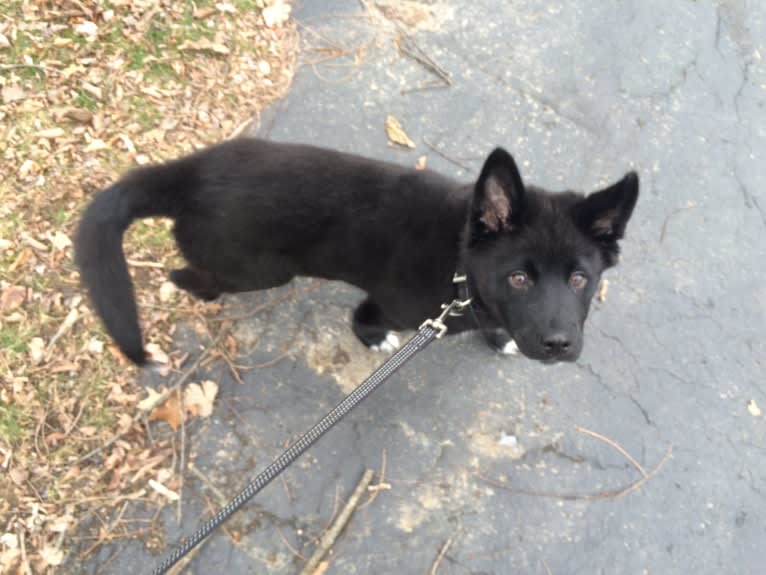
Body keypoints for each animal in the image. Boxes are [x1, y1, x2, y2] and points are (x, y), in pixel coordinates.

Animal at [75, 137, 640, 366]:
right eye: (518, 278)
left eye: (580, 279)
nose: (559, 345)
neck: (460, 270)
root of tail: (192, 174)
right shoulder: (387, 302)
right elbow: (363, 319)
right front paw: (373, 339)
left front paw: (499, 338)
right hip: (258, 270)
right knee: (190, 274)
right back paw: (192, 289)